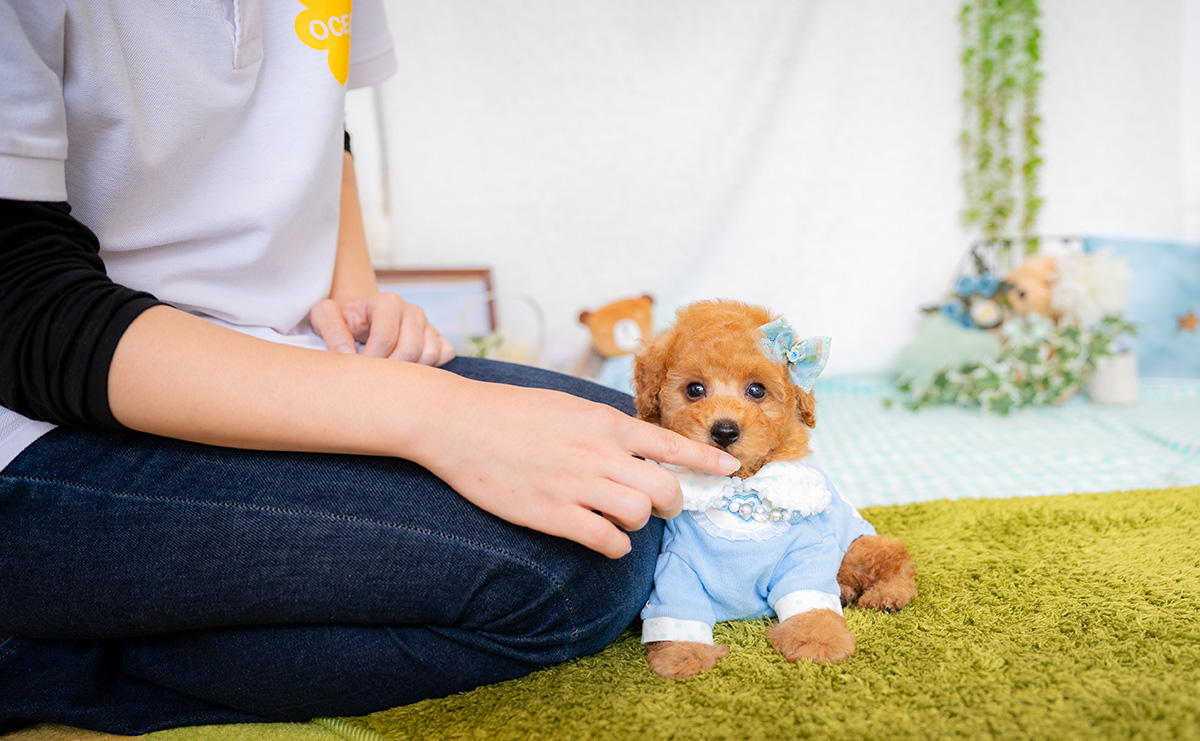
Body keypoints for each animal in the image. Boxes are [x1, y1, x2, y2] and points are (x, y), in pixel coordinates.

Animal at [633, 298, 912, 676]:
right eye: (694, 389)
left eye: (756, 390)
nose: (724, 431)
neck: (739, 488)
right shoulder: (676, 566)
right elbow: (677, 610)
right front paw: (683, 656)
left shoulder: (804, 553)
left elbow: (811, 601)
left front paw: (817, 640)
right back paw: (844, 589)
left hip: (857, 545)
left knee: (894, 556)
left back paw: (886, 594)